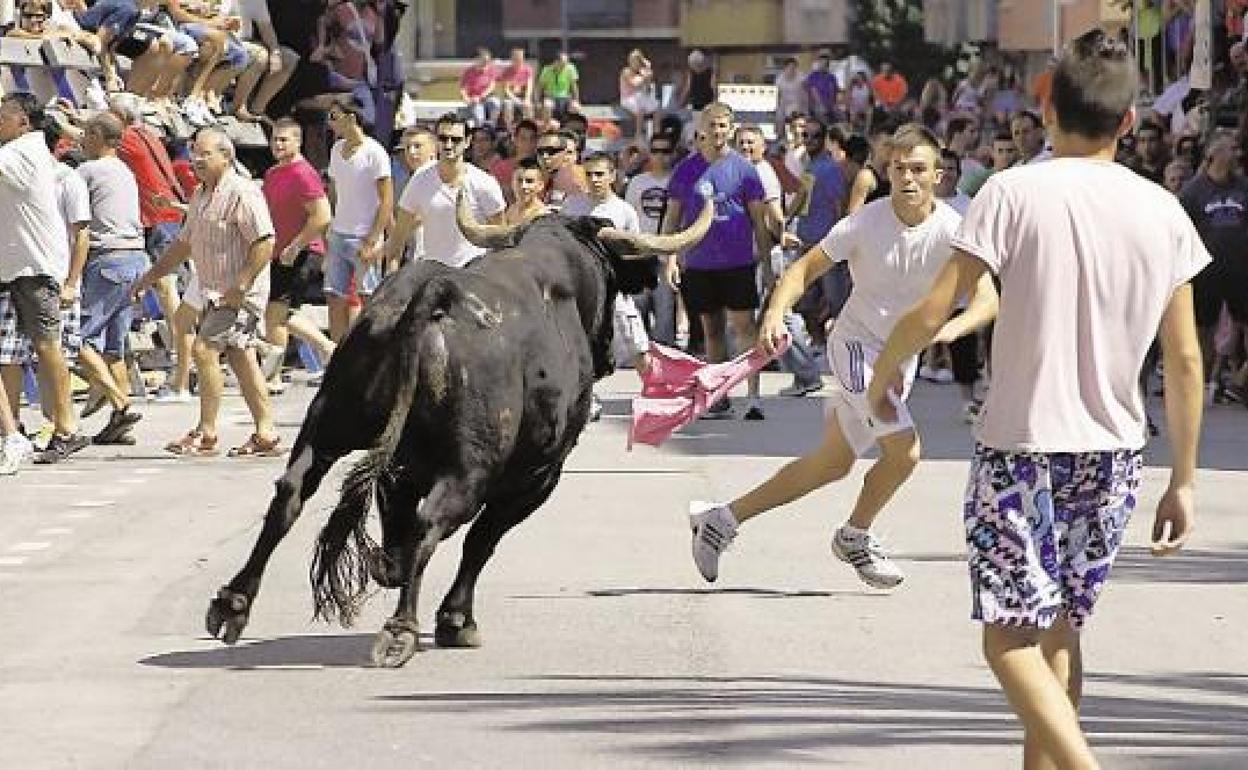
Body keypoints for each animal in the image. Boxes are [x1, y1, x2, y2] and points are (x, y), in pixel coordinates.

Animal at [204, 198, 713, 668]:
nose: (609, 352)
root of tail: (436, 293)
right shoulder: (538, 476)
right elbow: (481, 540)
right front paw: (455, 619)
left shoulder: (404, 467)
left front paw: (388, 566)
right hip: (471, 467)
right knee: (437, 522)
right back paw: (401, 629)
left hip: (329, 424)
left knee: (292, 494)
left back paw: (233, 604)